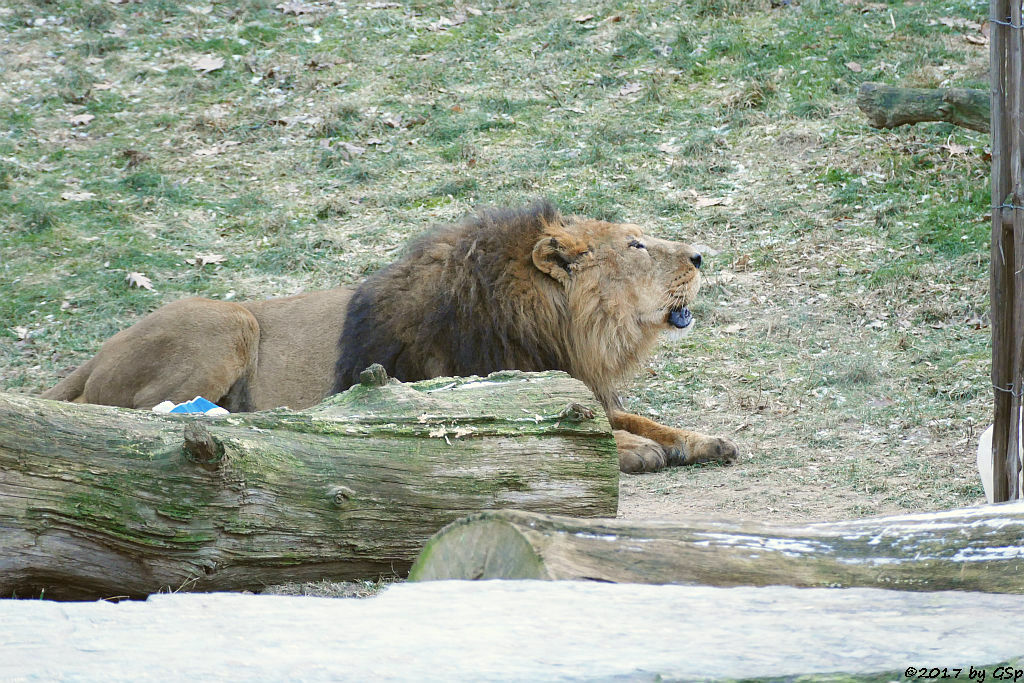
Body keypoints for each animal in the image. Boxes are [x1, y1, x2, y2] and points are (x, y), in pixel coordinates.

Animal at [46, 200, 737, 473]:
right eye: (637, 245)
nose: (701, 255)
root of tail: (94, 356)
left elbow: (643, 420)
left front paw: (702, 439)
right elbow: (597, 435)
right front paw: (636, 452)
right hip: (228, 321)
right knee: (142, 415)